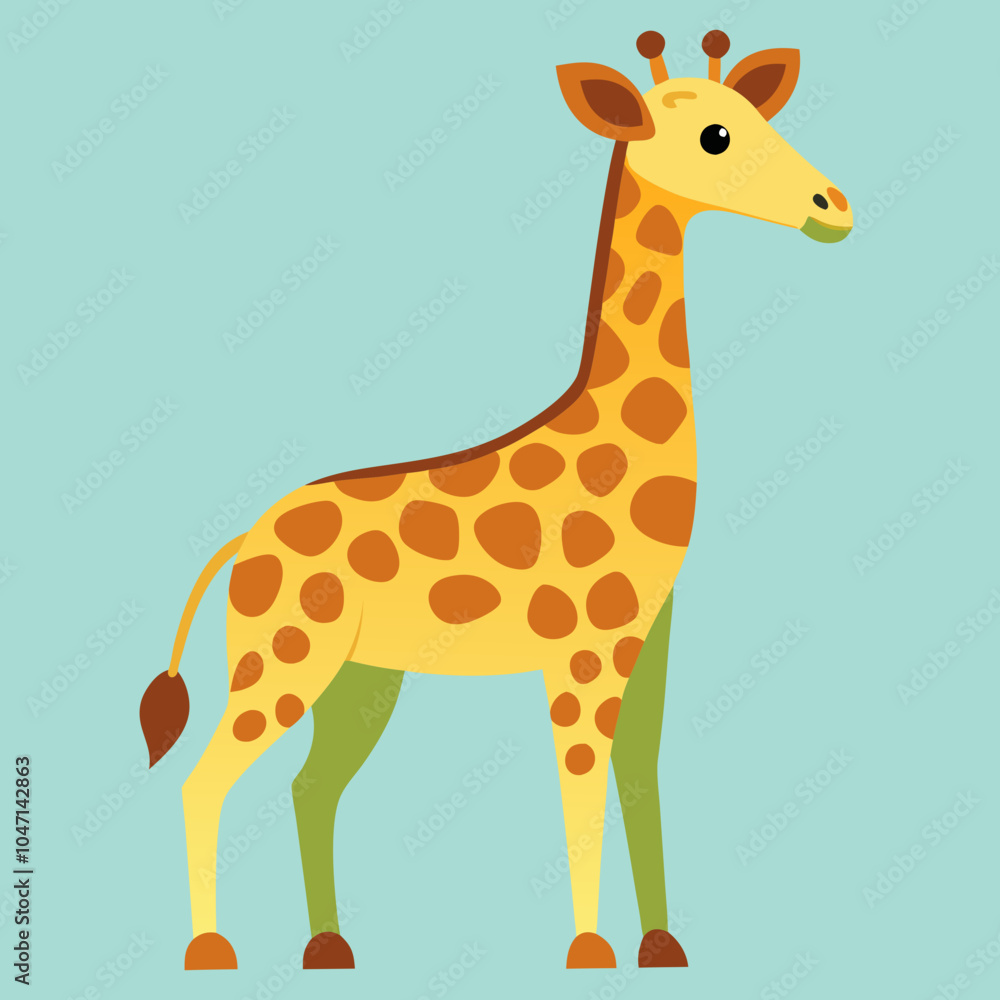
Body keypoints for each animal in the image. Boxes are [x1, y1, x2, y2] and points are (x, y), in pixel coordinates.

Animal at [140, 29, 852, 972]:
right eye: (715, 138)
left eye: (752, 115)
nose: (833, 207)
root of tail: (242, 542)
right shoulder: (581, 650)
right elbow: (579, 788)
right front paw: (588, 952)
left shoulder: (650, 640)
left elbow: (640, 779)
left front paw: (662, 946)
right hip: (283, 658)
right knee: (205, 779)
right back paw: (210, 951)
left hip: (360, 679)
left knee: (310, 785)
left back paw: (330, 948)